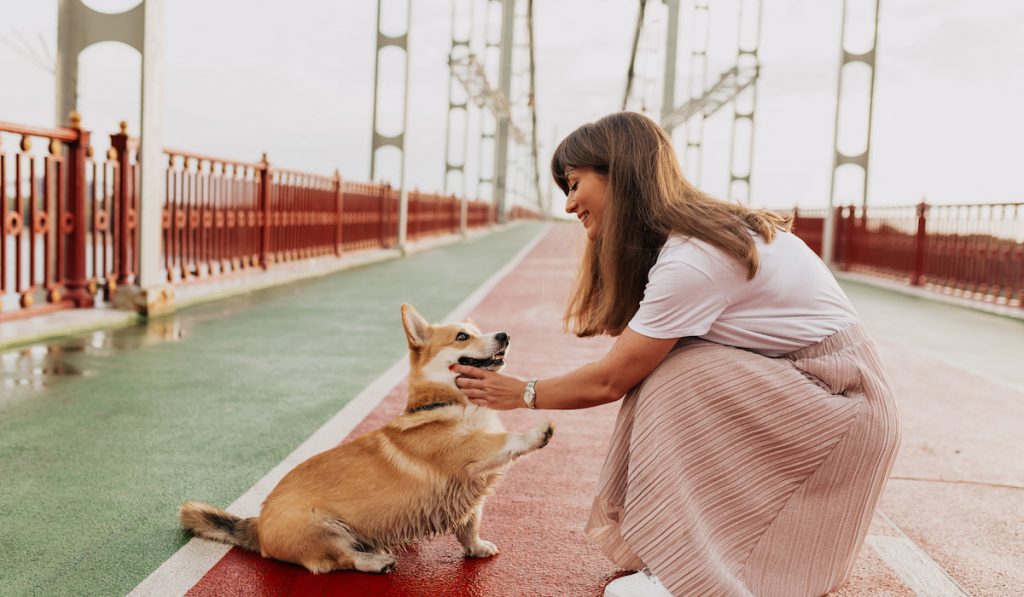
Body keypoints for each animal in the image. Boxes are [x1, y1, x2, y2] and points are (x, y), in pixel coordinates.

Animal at [180, 305, 557, 573]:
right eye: (462, 337)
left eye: (478, 332)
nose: (505, 335)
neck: (448, 403)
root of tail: (257, 526)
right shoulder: (467, 455)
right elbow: (504, 440)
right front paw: (538, 432)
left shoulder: (471, 494)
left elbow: (470, 526)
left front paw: (477, 548)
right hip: (324, 529)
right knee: (336, 561)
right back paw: (376, 560)